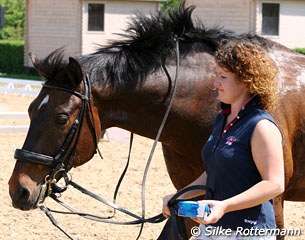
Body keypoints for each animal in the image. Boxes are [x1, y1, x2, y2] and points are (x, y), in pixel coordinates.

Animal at [7, 2, 304, 239]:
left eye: (61, 118)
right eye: (31, 111)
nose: (18, 190)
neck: (207, 101)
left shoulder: (273, 202)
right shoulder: (188, 197)